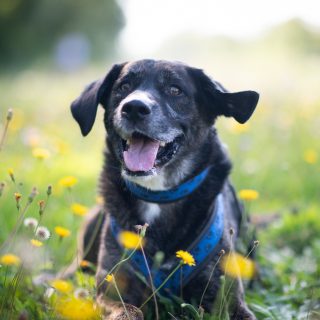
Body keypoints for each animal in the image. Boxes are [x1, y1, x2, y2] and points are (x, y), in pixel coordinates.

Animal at [71, 58, 258, 318]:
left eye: (175, 90)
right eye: (124, 86)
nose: (134, 107)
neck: (157, 196)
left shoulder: (227, 299)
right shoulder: (110, 292)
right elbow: (130, 311)